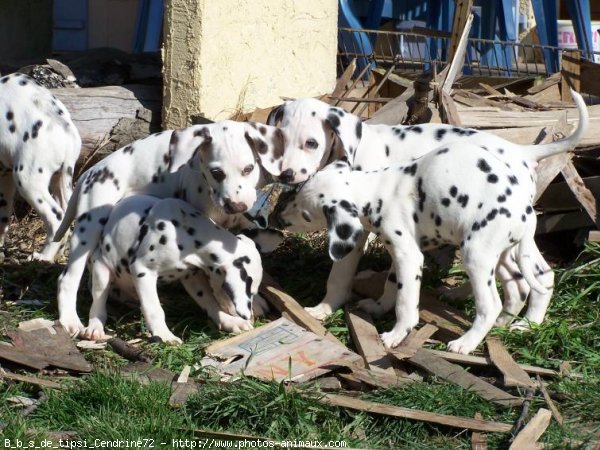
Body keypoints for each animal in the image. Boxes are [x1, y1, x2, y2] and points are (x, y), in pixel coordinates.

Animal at [54, 121, 284, 336]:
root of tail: (90, 173)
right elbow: (215, 282)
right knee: (68, 278)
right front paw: (229, 307)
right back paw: (71, 320)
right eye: (216, 172)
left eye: (249, 169)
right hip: (89, 229)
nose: (236, 206)